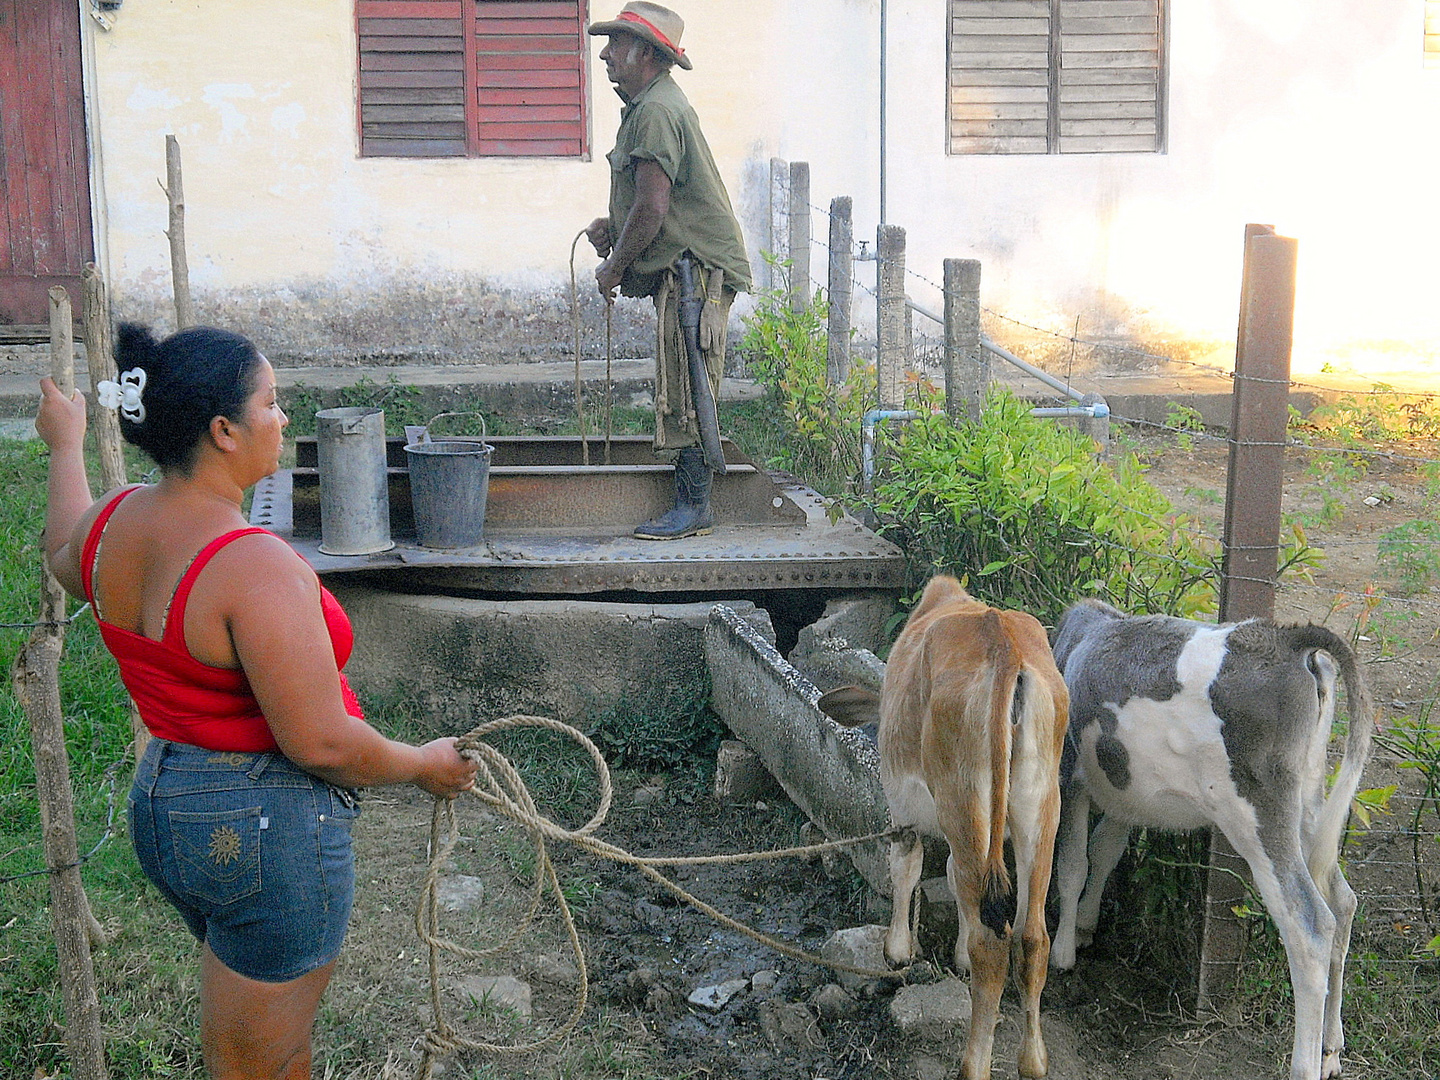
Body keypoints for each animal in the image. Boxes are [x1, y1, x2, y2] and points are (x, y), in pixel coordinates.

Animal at [823, 578, 1071, 1077]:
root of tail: (1005, 644)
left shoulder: (902, 811)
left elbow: (906, 867)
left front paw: (897, 951)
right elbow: (955, 881)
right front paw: (954, 956)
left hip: (965, 803)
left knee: (993, 944)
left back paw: (973, 1065)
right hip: (1039, 811)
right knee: (1032, 937)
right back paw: (1033, 1061)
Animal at [1054, 601, 1376, 1080]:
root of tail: (1286, 637)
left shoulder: (1067, 777)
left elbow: (1071, 863)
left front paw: (1060, 954)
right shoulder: (1123, 794)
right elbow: (1104, 849)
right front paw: (1084, 927)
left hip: (1258, 815)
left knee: (1310, 925)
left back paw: (1305, 1063)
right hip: (1308, 804)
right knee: (1342, 900)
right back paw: (1332, 1048)